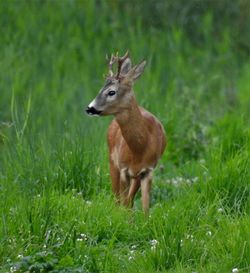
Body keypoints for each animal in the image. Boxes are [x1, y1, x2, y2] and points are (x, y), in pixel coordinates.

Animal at [86, 51, 166, 212]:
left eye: (111, 92)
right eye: (100, 89)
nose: (89, 108)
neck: (140, 147)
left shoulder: (147, 170)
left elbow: (144, 208)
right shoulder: (123, 169)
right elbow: (123, 202)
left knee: (128, 200)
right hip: (112, 161)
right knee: (117, 198)